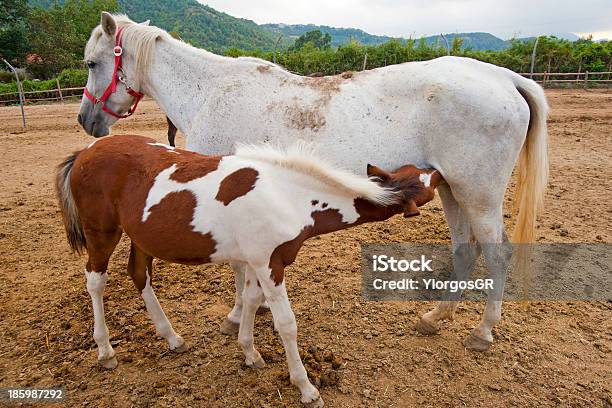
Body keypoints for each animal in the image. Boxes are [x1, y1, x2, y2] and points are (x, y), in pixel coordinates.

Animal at [56, 135, 440, 408]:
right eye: (427, 184)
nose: (439, 170)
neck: (288, 194)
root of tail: (86, 150)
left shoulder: (261, 261)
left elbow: (252, 301)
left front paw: (250, 352)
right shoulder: (269, 264)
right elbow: (286, 324)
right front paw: (305, 387)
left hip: (141, 237)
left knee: (139, 274)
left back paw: (172, 338)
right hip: (101, 232)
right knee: (95, 281)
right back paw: (106, 351)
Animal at [77, 11, 548, 356]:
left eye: (92, 63)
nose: (86, 120)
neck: (209, 92)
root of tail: (506, 78)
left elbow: (237, 268)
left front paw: (237, 319)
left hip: (478, 193)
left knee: (497, 254)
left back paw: (482, 333)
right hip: (451, 189)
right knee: (466, 250)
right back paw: (435, 319)